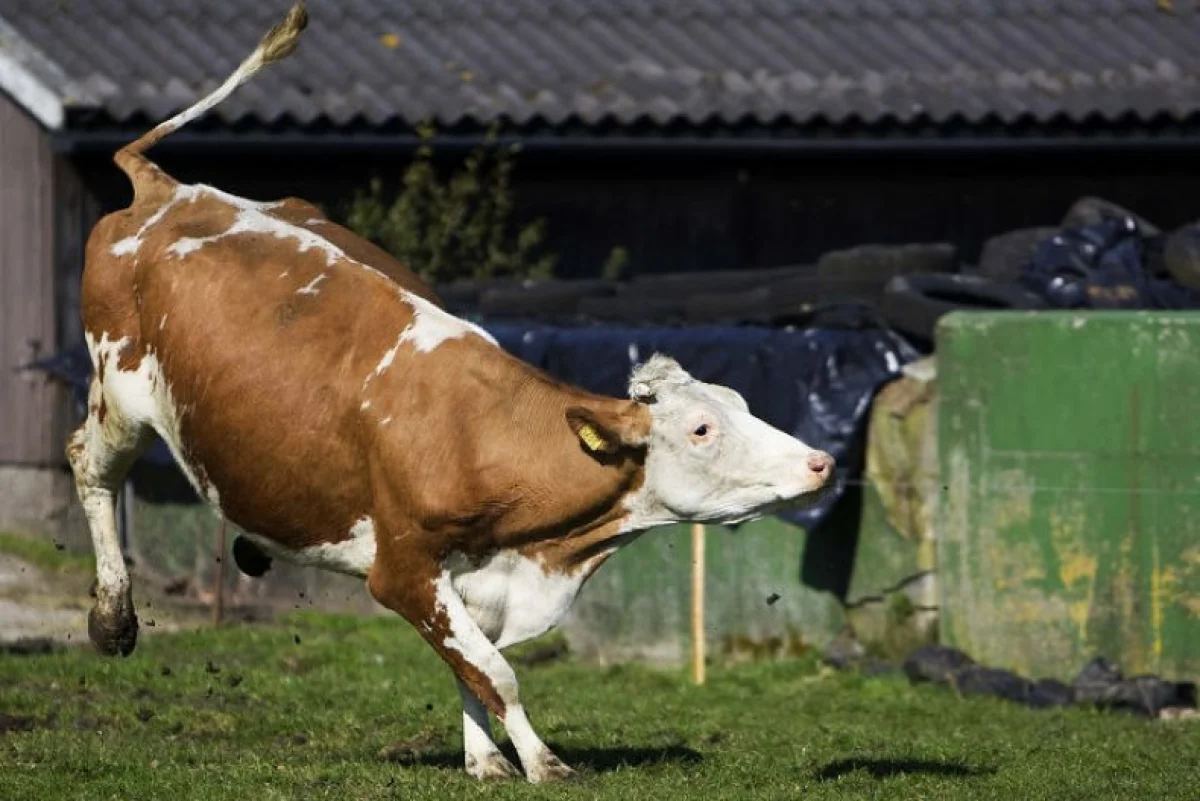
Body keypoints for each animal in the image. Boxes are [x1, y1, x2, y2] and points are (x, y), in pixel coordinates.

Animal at [68, 3, 835, 786]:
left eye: (742, 403)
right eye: (702, 428)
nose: (821, 462)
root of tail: (169, 189)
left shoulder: (476, 578)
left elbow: (470, 666)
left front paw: (487, 760)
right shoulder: (403, 569)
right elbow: (496, 672)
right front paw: (541, 761)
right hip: (121, 397)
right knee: (88, 466)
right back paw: (112, 617)